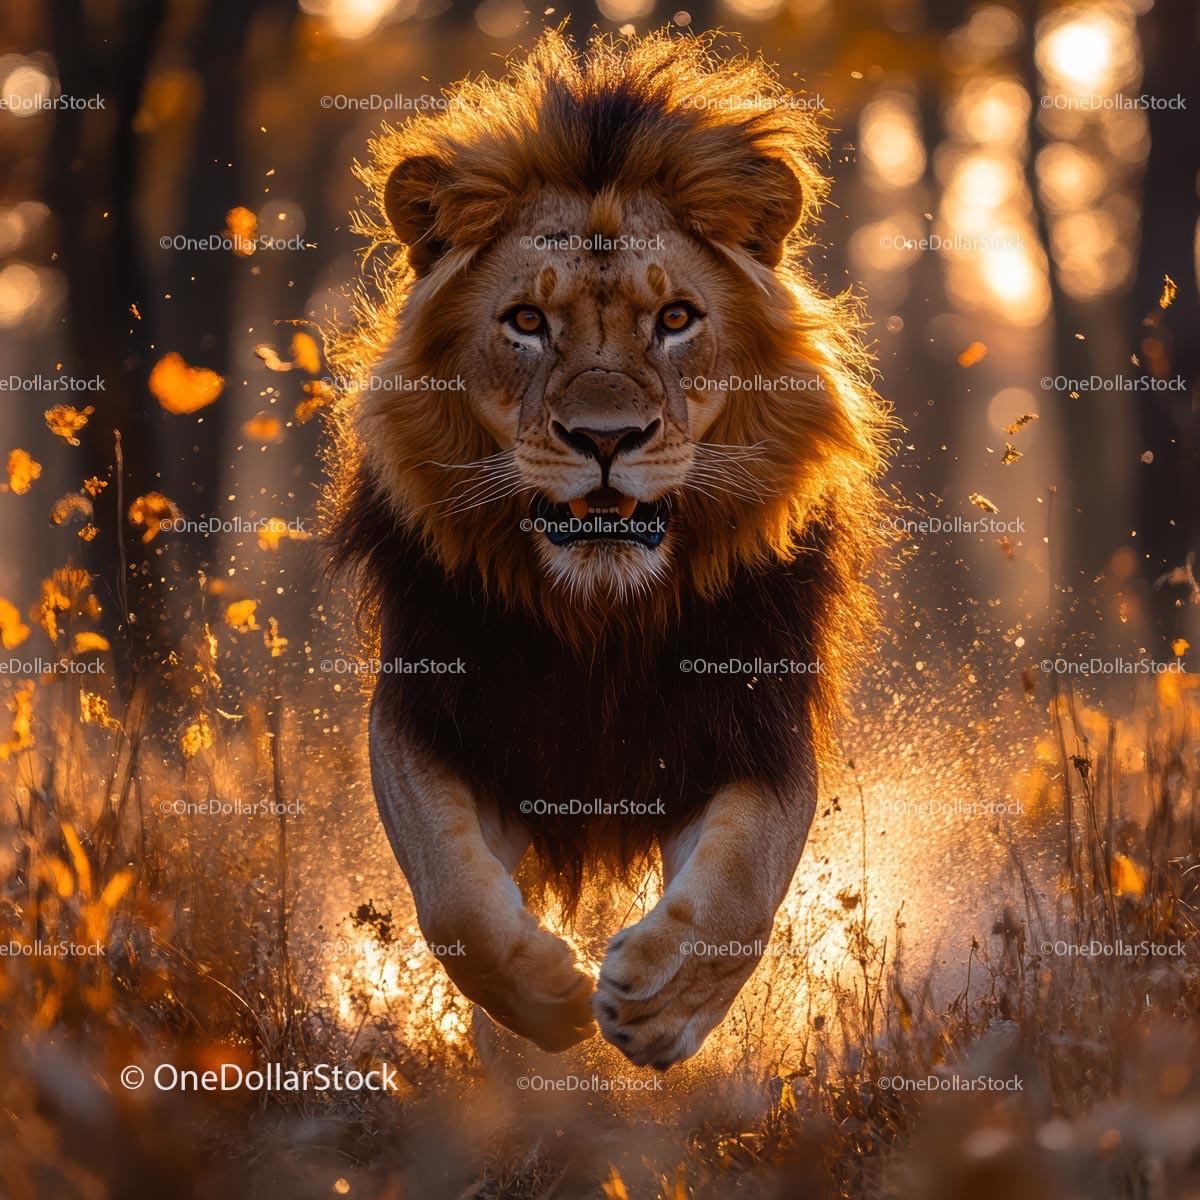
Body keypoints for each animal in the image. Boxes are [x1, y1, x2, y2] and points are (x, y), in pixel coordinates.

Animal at [325, 29, 888, 1070]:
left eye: (675, 319)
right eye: (526, 322)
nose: (605, 438)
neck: (601, 617)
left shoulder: (757, 725)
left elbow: (737, 887)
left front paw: (659, 1003)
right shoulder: (431, 710)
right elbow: (454, 895)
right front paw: (545, 1002)